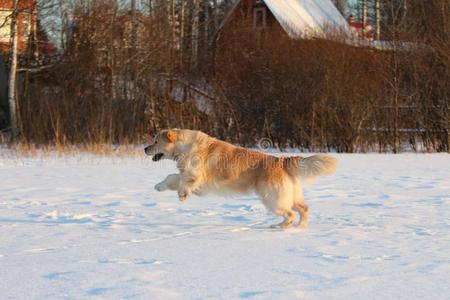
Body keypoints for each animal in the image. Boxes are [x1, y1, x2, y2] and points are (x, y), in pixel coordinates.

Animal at [146, 127, 336, 229]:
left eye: (155, 141)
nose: (145, 149)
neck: (185, 147)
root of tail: (281, 161)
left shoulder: (195, 176)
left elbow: (179, 180)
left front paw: (179, 193)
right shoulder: (192, 178)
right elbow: (173, 177)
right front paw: (161, 187)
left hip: (273, 199)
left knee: (290, 214)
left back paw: (279, 227)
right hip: (289, 196)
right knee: (304, 209)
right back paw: (300, 227)